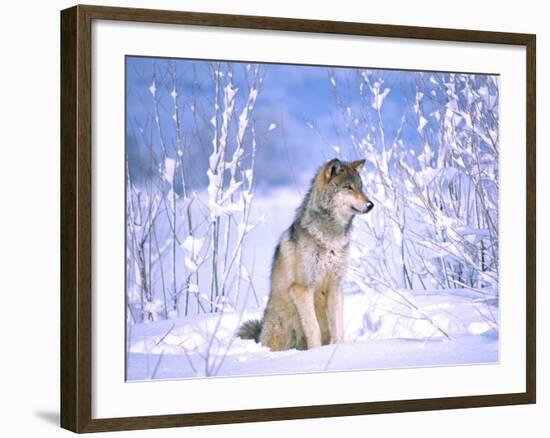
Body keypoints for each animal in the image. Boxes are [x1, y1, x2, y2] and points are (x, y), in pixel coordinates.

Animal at [238, 159, 376, 350]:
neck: (330, 237)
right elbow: (313, 328)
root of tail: (260, 333)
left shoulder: (335, 286)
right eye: (348, 187)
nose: (371, 204)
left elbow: (339, 329)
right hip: (282, 326)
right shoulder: (302, 288)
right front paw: (316, 352)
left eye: (361, 187)